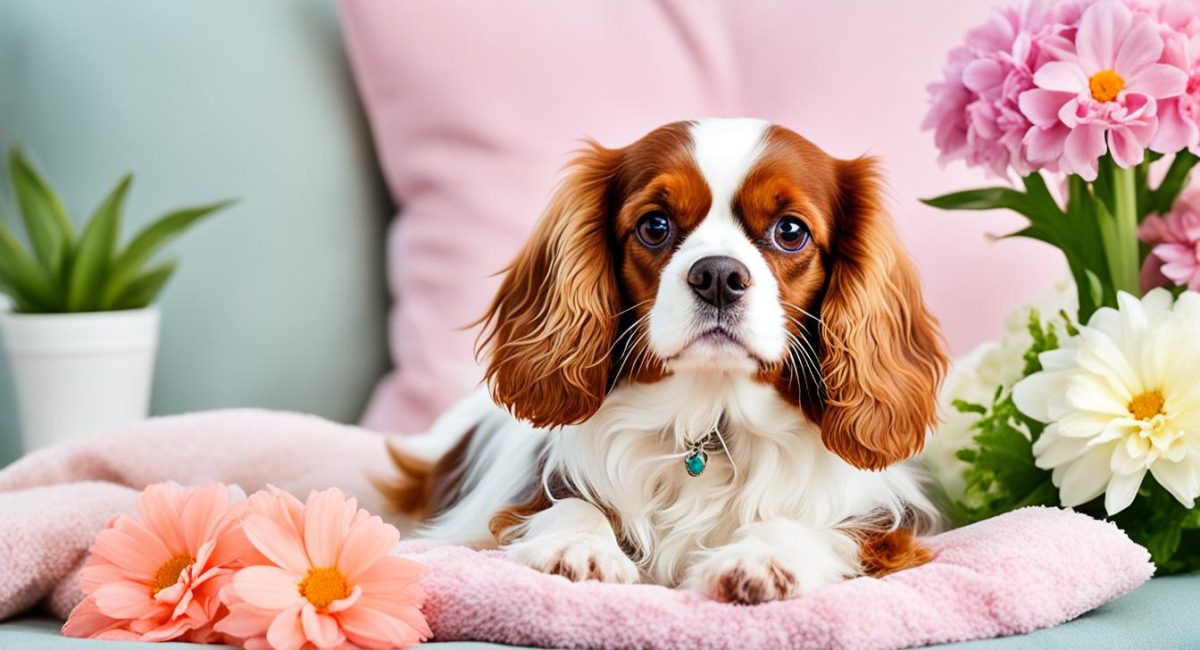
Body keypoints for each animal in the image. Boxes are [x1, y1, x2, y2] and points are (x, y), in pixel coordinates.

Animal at [384, 117, 945, 606]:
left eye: (790, 231)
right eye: (655, 225)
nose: (718, 275)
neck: (709, 415)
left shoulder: (884, 528)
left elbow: (810, 526)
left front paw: (763, 559)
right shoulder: (525, 499)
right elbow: (570, 504)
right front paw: (578, 547)